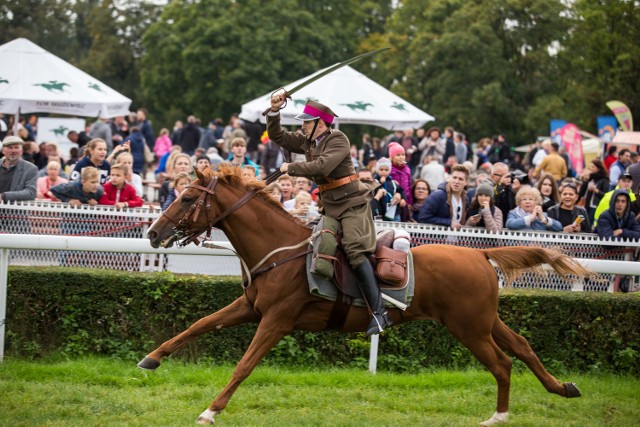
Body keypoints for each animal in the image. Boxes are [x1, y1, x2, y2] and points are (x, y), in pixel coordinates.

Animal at [140, 166, 596, 426]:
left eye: (186, 197)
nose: (154, 234)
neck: (281, 250)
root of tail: (479, 252)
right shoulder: (250, 308)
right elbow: (199, 324)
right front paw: (152, 358)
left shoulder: (276, 320)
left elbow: (243, 366)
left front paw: (210, 410)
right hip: (484, 321)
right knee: (522, 346)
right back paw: (562, 388)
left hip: (469, 327)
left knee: (502, 363)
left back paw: (498, 416)